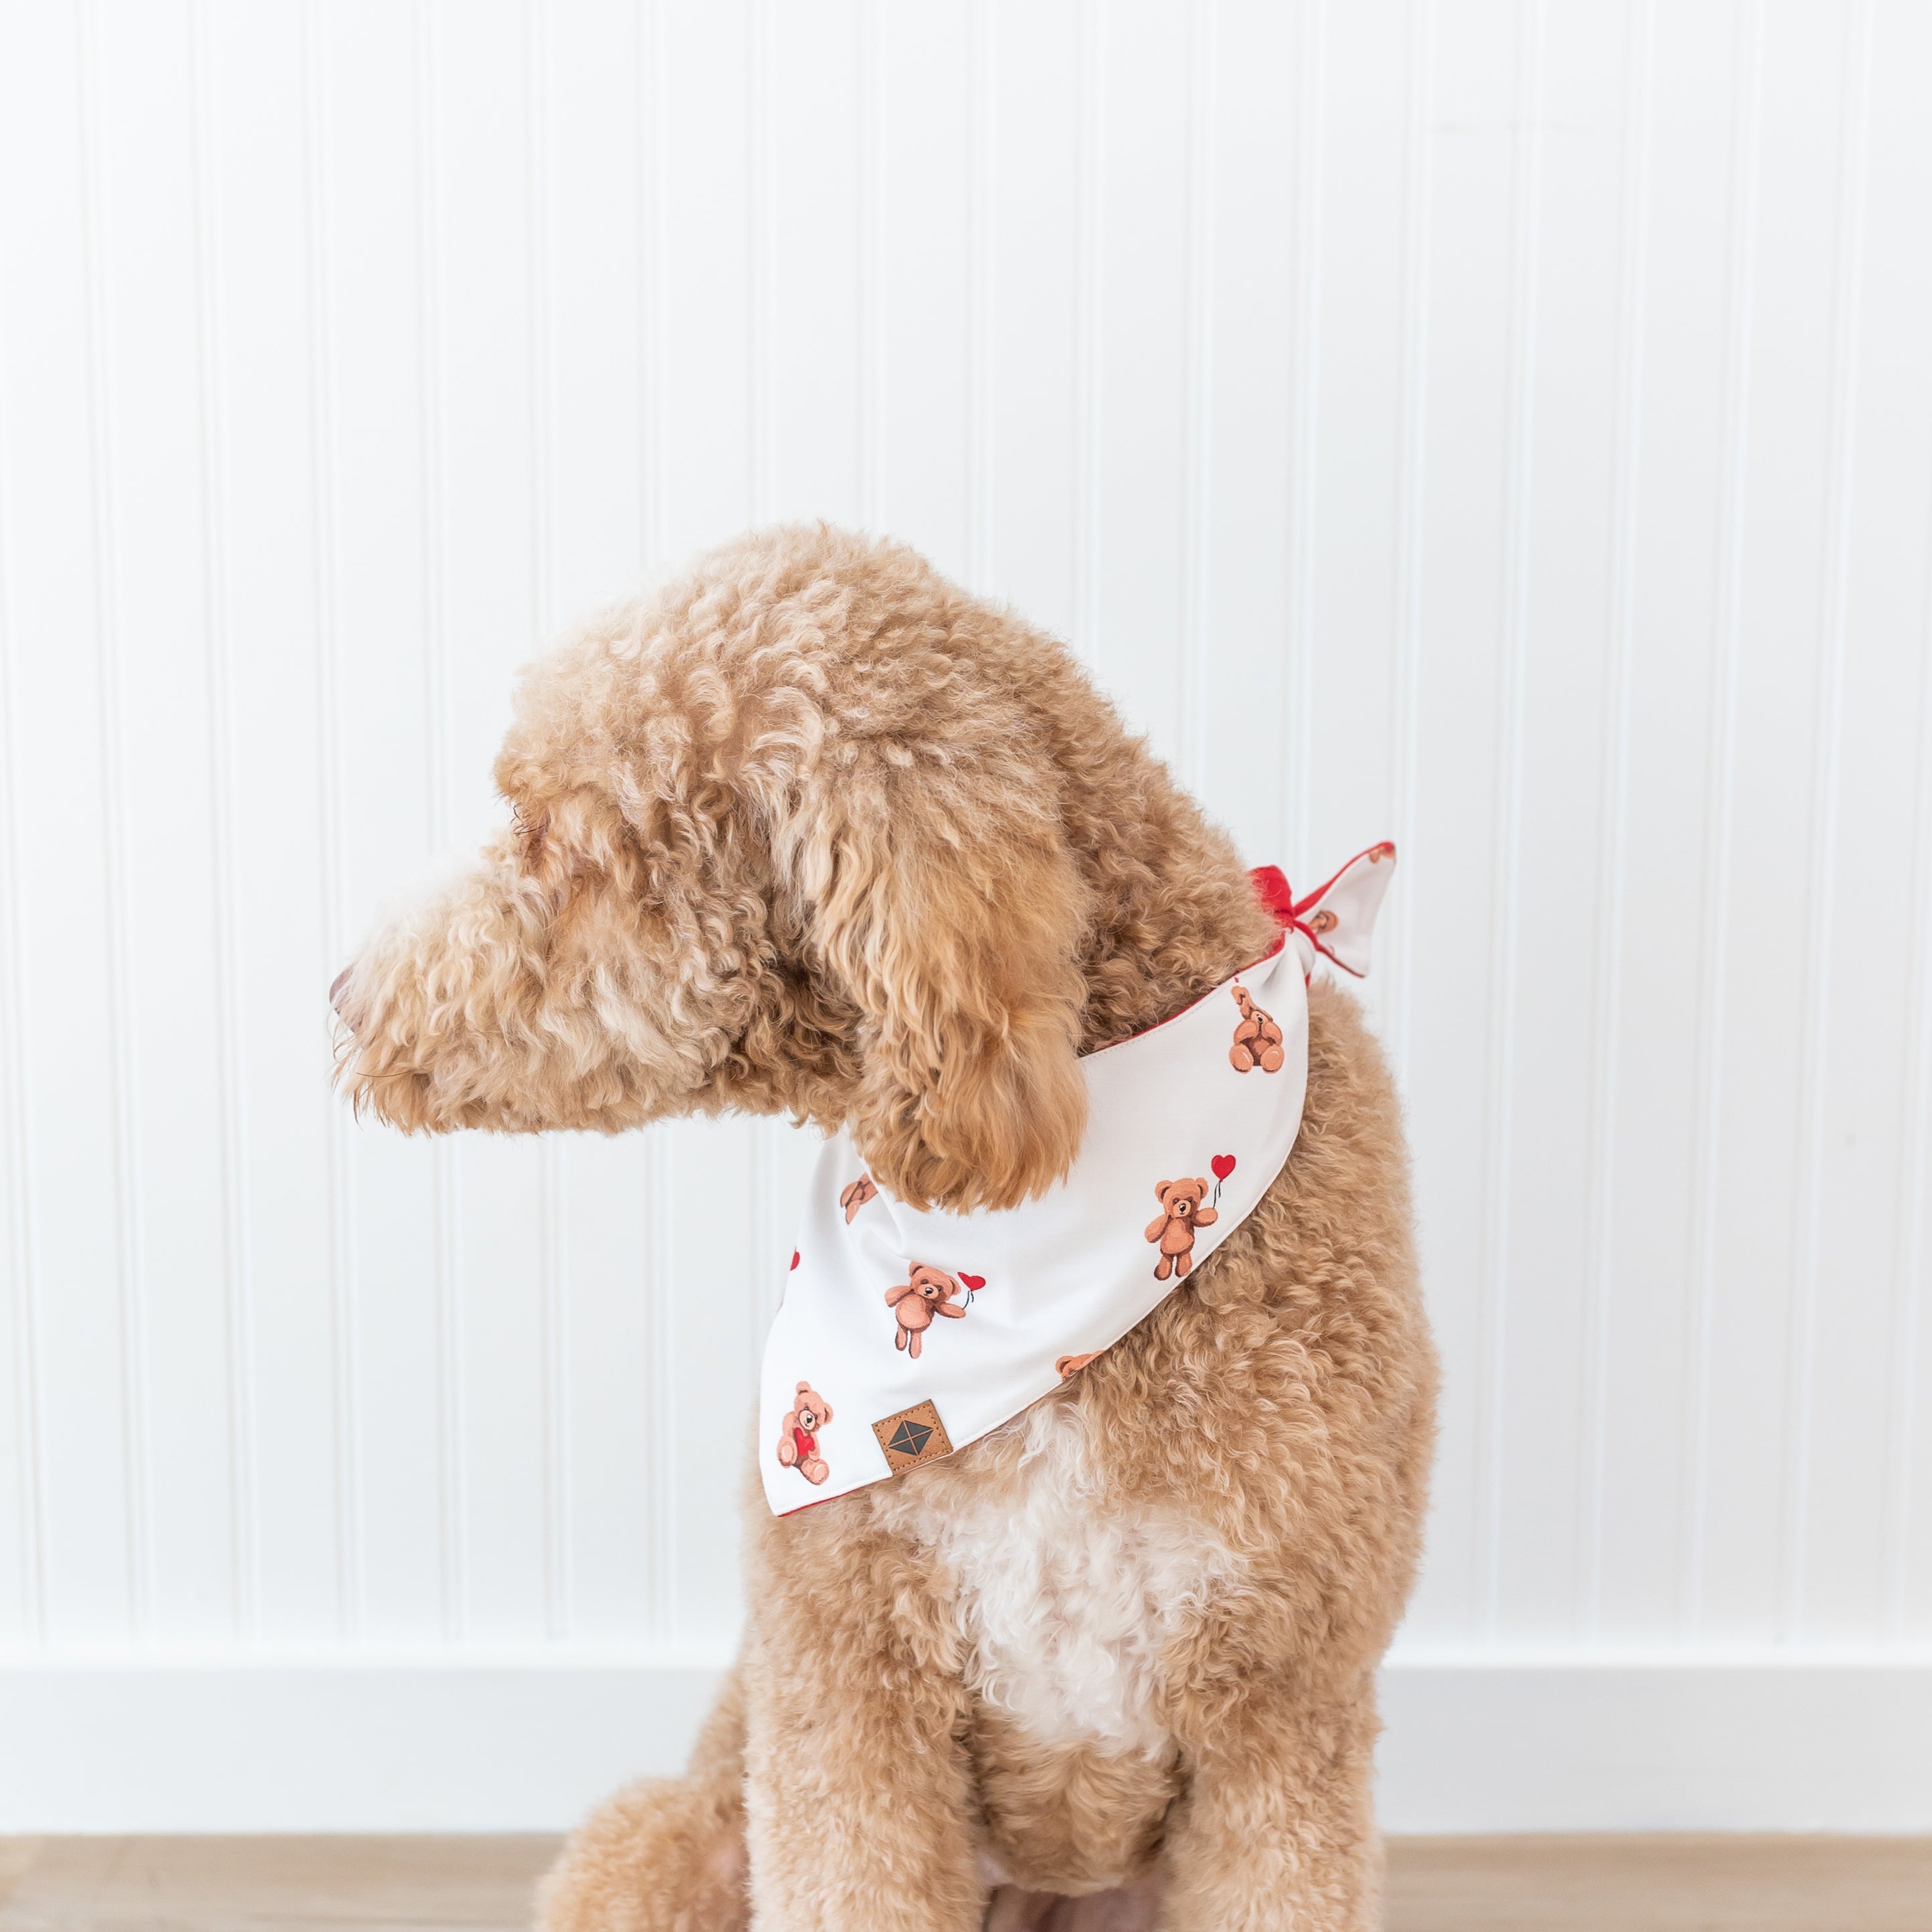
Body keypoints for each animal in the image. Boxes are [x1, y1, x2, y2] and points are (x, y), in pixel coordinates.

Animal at [776, 1381, 833, 1485]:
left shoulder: (812, 1437)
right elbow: (788, 1433)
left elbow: (815, 1447)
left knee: (811, 1466)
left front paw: (814, 1455)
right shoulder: (790, 1420)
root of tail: (797, 1464)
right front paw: (788, 1450)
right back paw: (786, 1453)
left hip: (806, 1462)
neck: (802, 1427)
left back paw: (819, 1470)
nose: (809, 1419)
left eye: (816, 1416)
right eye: (806, 1407)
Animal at [884, 1264, 967, 1359]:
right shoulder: (909, 1291)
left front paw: (960, 1312)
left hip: (917, 1331)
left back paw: (914, 1352)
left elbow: (944, 1307)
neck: (923, 1298)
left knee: (915, 1338)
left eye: (939, 1288)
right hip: (902, 1324)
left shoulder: (936, 1305)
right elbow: (897, 1292)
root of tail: (910, 1327)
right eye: (924, 1282)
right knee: (902, 1331)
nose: (929, 1290)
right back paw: (901, 1344)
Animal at [1145, 1178, 1218, 1281]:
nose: (1182, 1207)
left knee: (1183, 1259)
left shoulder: (1191, 1219)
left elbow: (1199, 1217)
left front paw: (1211, 1213)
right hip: (1166, 1253)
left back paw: (1182, 1270)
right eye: (1176, 1200)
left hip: (1185, 1251)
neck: (1179, 1218)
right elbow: (1157, 1226)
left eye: (1190, 1200)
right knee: (1166, 1260)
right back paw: (1162, 1273)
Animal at [1229, 983, 1286, 1073]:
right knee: (1239, 1049)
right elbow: (1239, 1036)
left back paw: (1272, 1057)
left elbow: (1277, 1035)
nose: (1260, 1020)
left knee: (1275, 1050)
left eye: (1261, 1017)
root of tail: (1257, 1063)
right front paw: (1251, 1027)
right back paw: (1244, 1060)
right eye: (1258, 1016)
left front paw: (1267, 1027)